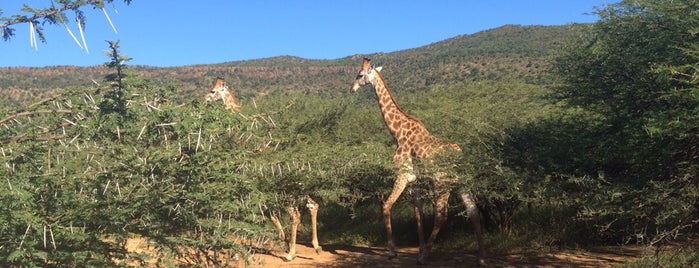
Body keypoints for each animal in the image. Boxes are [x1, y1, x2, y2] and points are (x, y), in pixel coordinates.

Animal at [202, 77, 322, 262]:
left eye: (213, 91)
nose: (204, 100)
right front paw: (280, 239)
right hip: (298, 189)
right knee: (312, 205)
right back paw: (315, 247)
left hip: (285, 191)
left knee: (295, 215)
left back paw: (290, 253)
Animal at [350, 57, 486, 264]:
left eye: (359, 75)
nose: (352, 88)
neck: (397, 133)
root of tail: (459, 154)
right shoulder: (415, 181)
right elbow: (418, 215)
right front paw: (419, 248)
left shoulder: (402, 175)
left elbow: (386, 206)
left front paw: (393, 251)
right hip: (462, 183)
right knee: (473, 211)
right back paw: (481, 257)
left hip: (442, 183)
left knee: (442, 215)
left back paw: (426, 256)